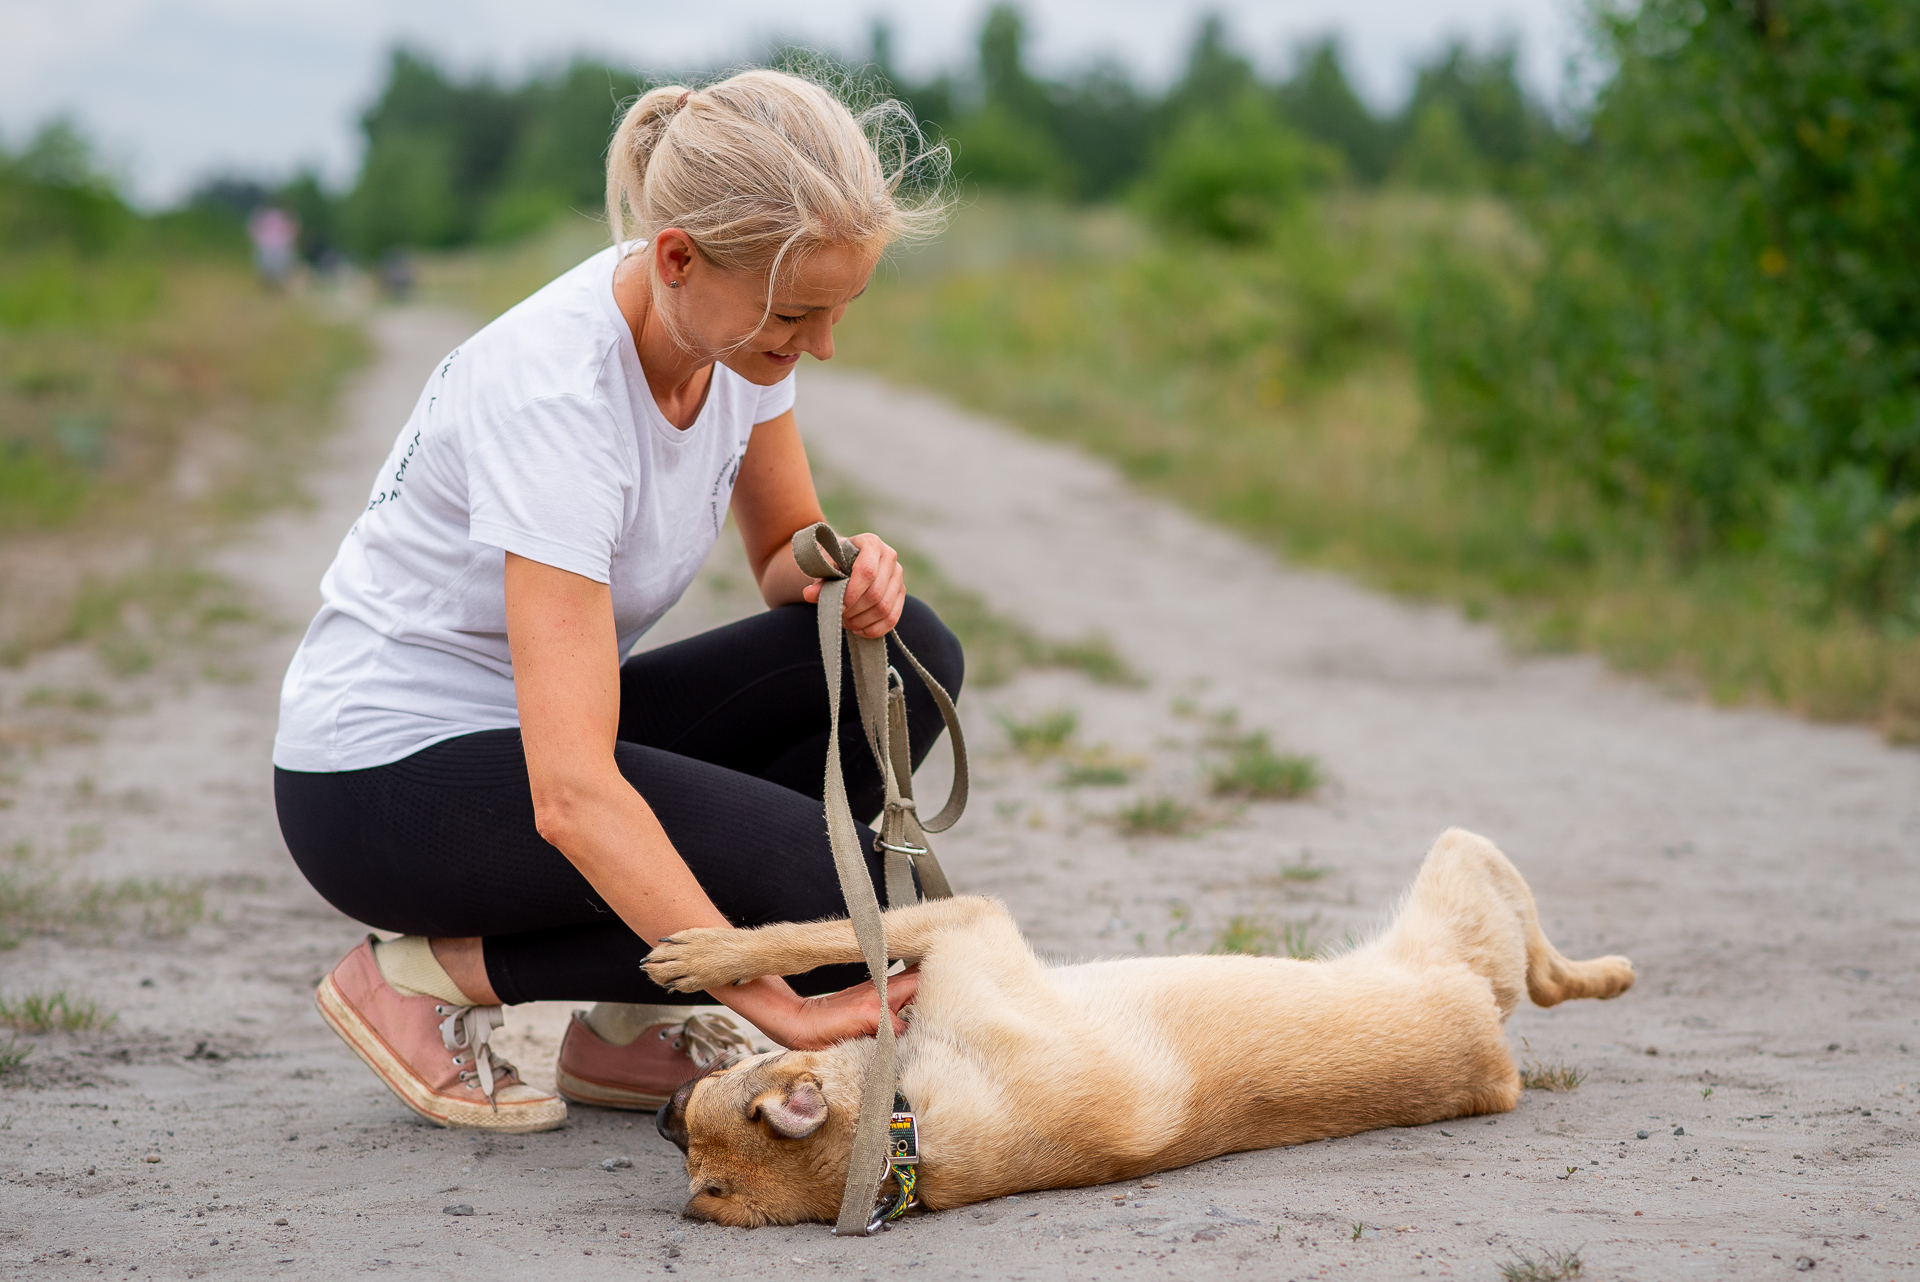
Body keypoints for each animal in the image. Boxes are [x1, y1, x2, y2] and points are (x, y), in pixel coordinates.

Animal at [648, 825, 1635, 1228]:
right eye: (687, 1147)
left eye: (703, 1104)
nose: (659, 1115)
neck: (906, 1130)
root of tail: (1491, 1048)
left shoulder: (968, 925)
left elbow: (827, 929)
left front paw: (704, 956)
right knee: (1540, 968)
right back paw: (1608, 974)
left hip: (1457, 873)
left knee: (1546, 964)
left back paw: (1612, 971)